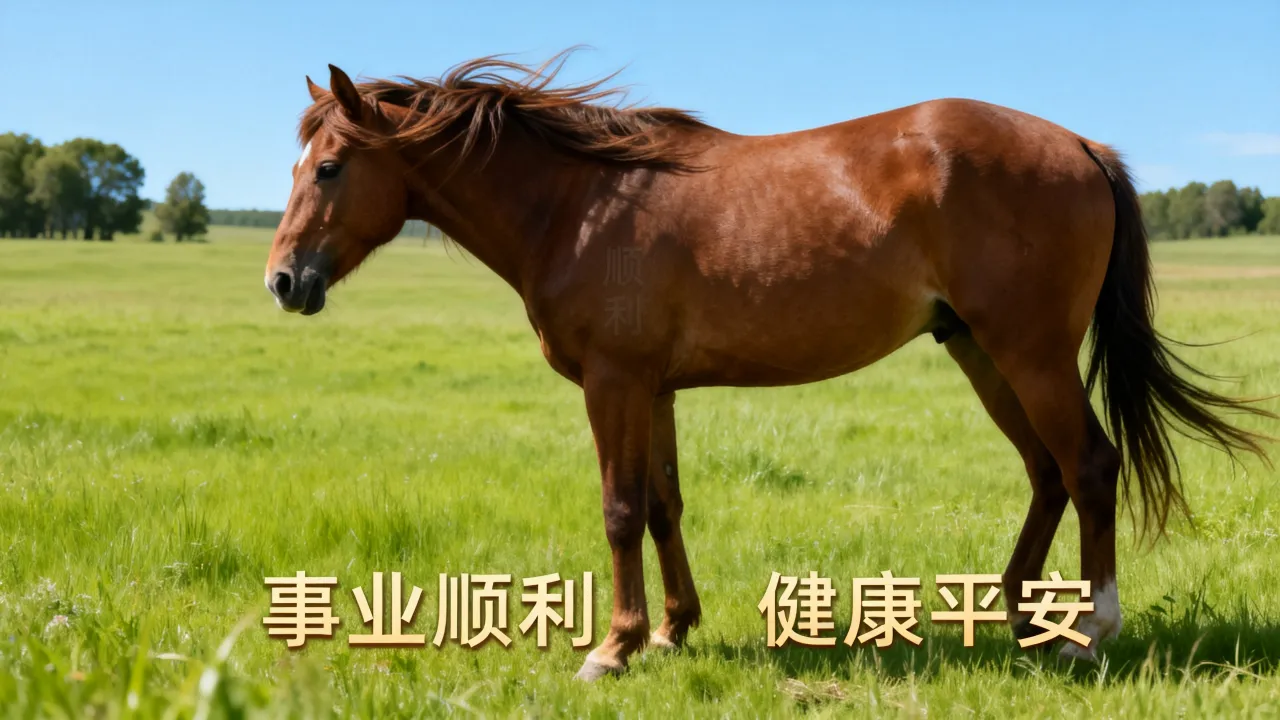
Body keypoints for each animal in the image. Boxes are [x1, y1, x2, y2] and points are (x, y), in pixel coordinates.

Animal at [264, 54, 1270, 680]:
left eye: (330, 167)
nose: (282, 280)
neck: (580, 203)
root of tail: (1080, 146)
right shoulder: (654, 390)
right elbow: (663, 506)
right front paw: (673, 631)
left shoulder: (615, 385)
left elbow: (620, 510)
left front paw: (613, 647)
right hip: (983, 352)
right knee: (1047, 473)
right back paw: (1017, 615)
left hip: (1030, 353)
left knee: (1090, 468)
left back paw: (1087, 632)